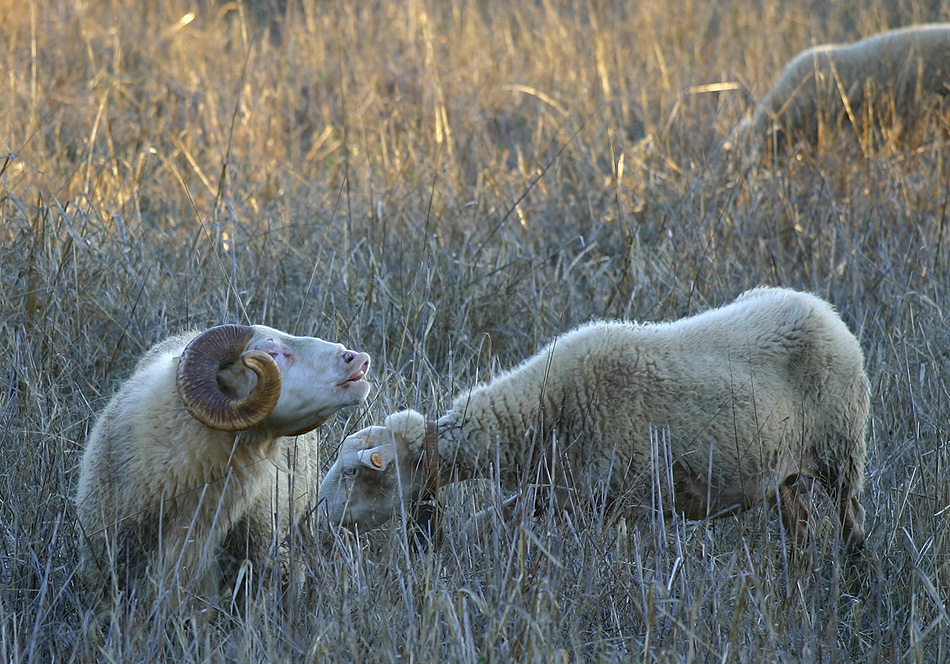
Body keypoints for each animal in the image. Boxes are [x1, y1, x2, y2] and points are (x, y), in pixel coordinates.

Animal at [320, 286, 872, 556]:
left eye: (351, 472)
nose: (313, 519)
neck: (542, 412)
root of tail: (823, 310)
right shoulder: (560, 491)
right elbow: (487, 521)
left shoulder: (623, 498)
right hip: (785, 474)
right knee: (801, 528)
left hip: (842, 447)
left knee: (851, 520)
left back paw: (852, 574)